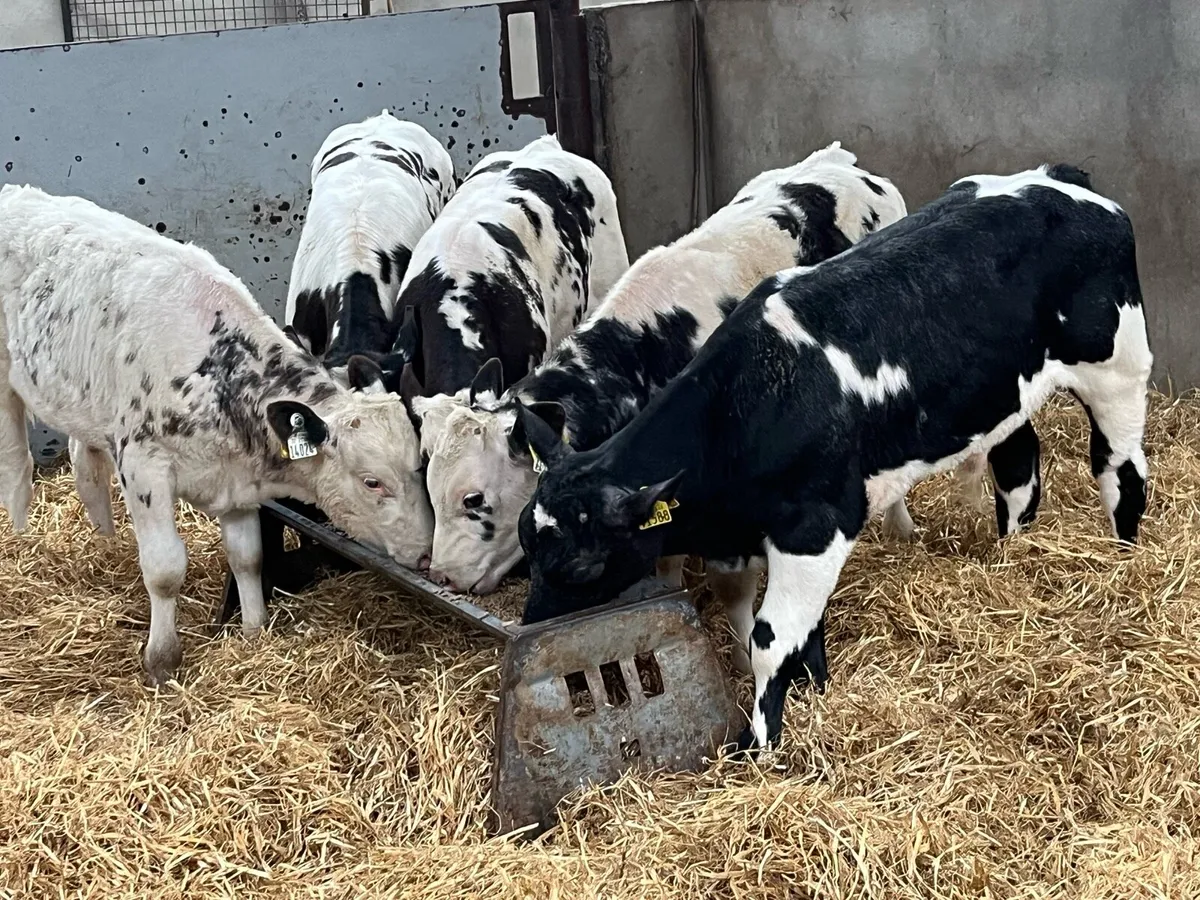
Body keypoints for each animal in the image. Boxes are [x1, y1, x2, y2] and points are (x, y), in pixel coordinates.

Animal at [0, 185, 433, 687]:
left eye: (420, 465)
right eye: (372, 482)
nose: (427, 554)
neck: (213, 372)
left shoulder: (237, 482)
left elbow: (249, 557)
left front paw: (254, 631)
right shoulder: (143, 466)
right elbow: (165, 568)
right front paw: (162, 660)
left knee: (82, 453)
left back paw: (105, 537)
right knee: (14, 460)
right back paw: (20, 529)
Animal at [417, 143, 915, 625]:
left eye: (474, 498)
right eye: (429, 480)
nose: (442, 575)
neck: (644, 352)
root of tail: (845, 164)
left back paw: (900, 527)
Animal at [515, 164, 1151, 751]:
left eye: (582, 567)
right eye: (528, 541)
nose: (531, 632)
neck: (751, 401)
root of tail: (1059, 179)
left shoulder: (815, 528)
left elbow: (770, 639)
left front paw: (761, 744)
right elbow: (797, 629)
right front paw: (815, 689)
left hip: (1117, 374)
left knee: (1120, 474)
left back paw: (1123, 562)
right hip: (1006, 394)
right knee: (1019, 468)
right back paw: (1011, 553)